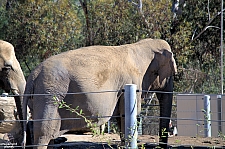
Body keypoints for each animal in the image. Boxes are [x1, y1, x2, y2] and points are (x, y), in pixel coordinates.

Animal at [23, 37, 178, 148]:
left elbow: (120, 116)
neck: (140, 47)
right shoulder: (131, 81)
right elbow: (126, 113)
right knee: (43, 134)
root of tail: (32, 76)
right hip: (49, 95)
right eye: (171, 74)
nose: (161, 146)